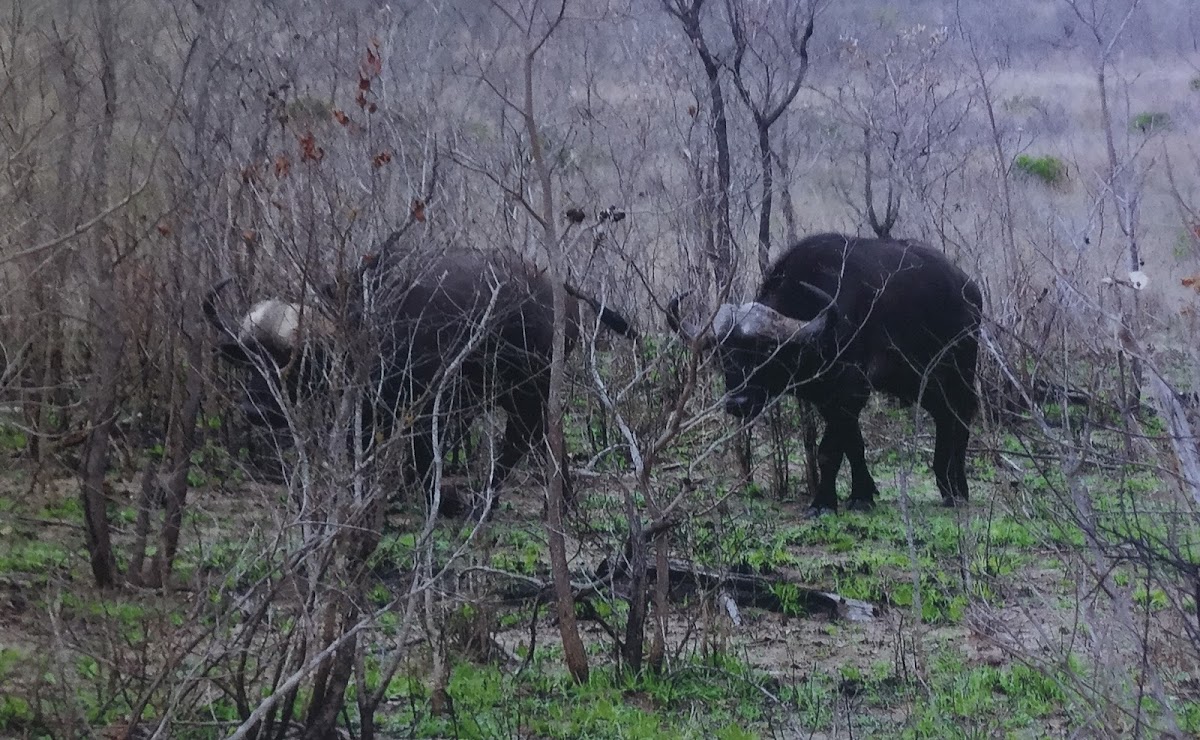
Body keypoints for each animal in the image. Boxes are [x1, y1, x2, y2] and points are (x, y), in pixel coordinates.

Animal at [205, 247, 638, 513]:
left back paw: (486, 503)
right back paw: (558, 501)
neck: (367, 327)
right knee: (547, 435)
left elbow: (423, 456)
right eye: (251, 360)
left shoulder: (428, 405)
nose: (254, 409)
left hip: (527, 387)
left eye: (294, 360)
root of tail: (555, 287)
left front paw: (440, 499)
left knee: (520, 438)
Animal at [672, 230, 979, 513]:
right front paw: (863, 493)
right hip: (915, 381)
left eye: (766, 351)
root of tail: (969, 289)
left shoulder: (851, 391)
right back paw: (944, 482)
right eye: (723, 354)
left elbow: (829, 450)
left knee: (962, 415)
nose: (738, 403)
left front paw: (825, 502)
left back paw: (958, 489)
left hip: (959, 369)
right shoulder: (830, 398)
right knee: (943, 415)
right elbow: (853, 444)